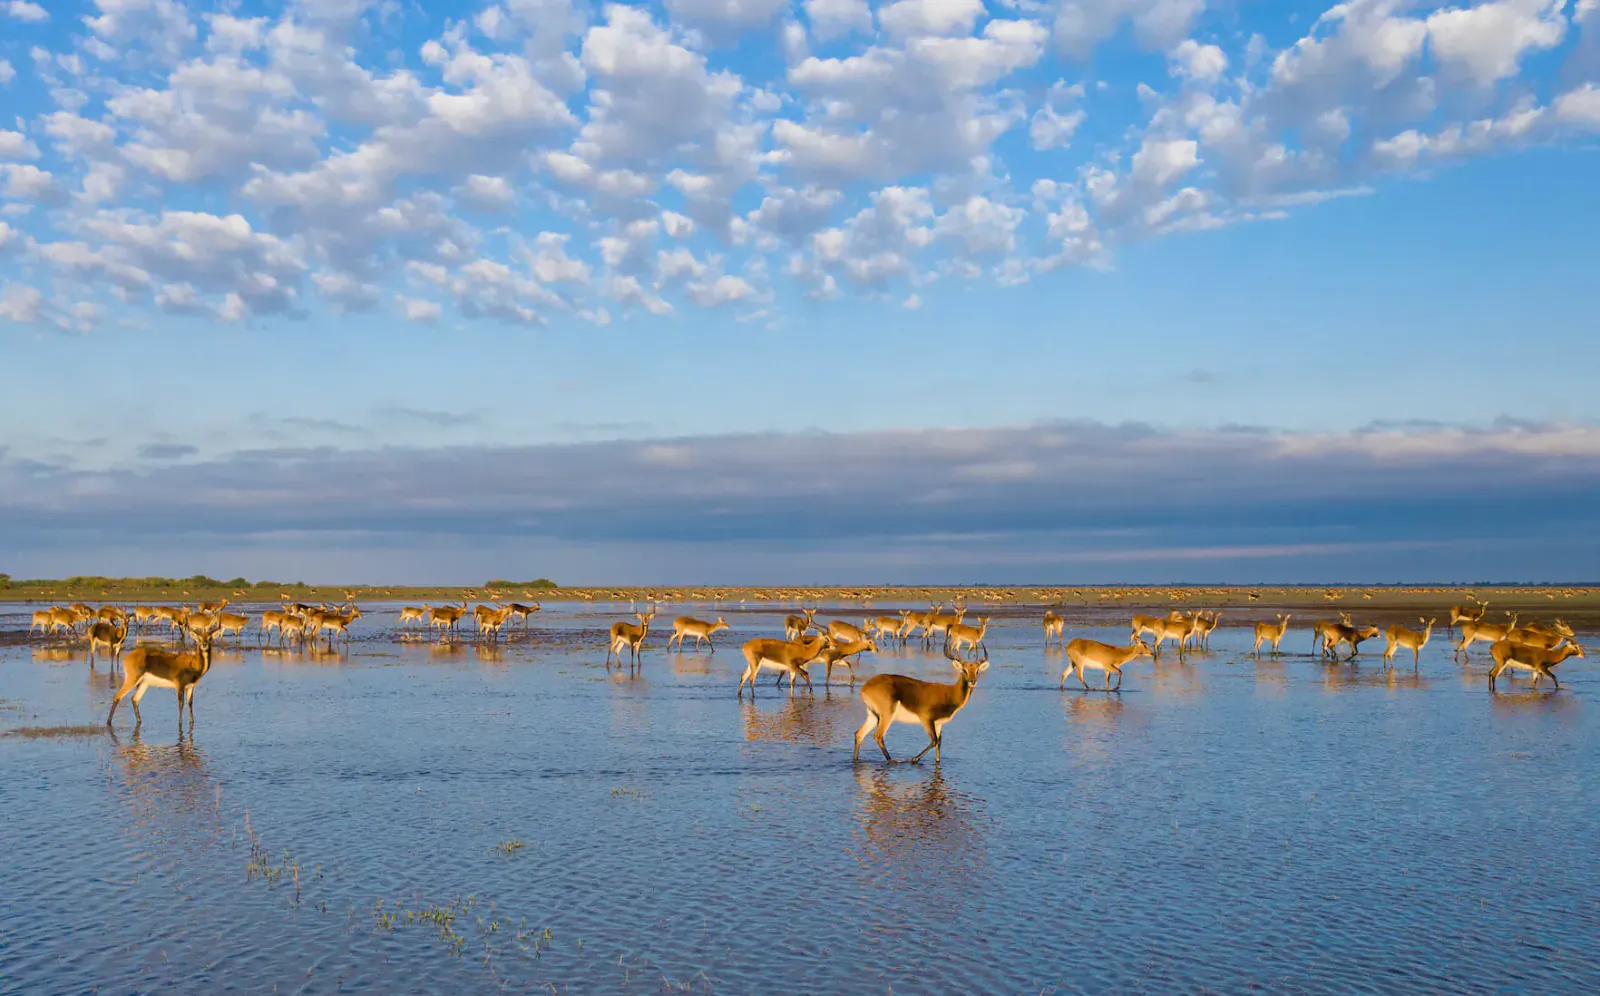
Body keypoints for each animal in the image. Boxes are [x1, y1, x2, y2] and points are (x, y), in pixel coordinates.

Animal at [853, 644, 990, 763]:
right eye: (964, 670)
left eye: (977, 670)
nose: (972, 681)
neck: (950, 694)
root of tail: (865, 687)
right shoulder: (926, 719)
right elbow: (934, 741)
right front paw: (914, 759)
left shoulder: (939, 724)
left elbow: (939, 743)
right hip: (887, 715)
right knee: (878, 736)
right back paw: (892, 761)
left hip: (873, 716)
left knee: (859, 734)